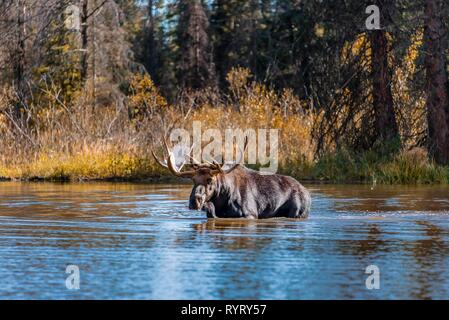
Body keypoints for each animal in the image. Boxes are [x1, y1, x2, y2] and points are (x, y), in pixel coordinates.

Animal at [152, 139, 310, 219]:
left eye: (210, 180)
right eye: (193, 180)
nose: (194, 202)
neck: (221, 201)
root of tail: (307, 193)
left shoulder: (250, 215)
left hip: (297, 211)